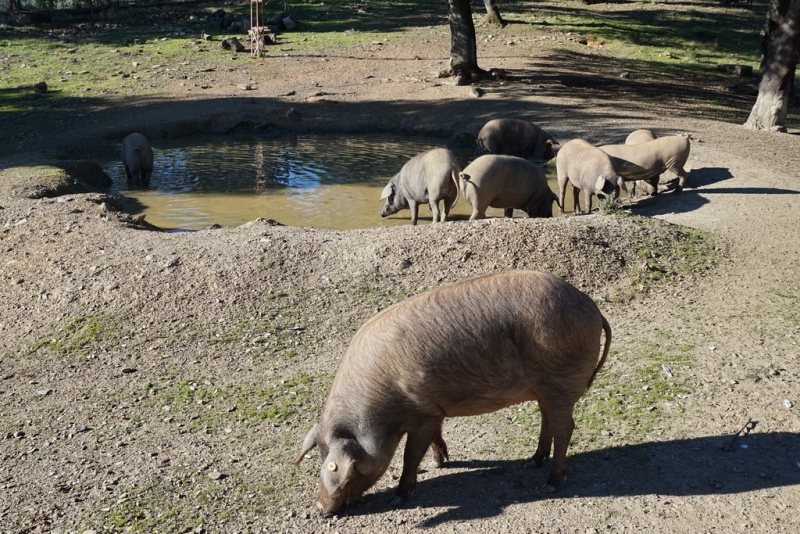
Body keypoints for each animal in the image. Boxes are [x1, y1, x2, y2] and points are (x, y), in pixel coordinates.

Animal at [296, 272, 608, 520]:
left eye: (345, 470)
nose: (322, 510)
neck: (382, 405)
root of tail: (592, 306)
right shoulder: (434, 410)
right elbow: (436, 438)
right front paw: (440, 463)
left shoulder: (422, 413)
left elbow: (410, 456)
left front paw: (398, 497)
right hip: (546, 388)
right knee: (547, 420)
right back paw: (531, 461)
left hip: (562, 380)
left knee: (565, 428)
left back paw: (550, 484)